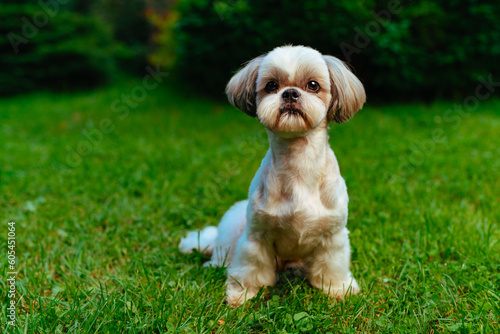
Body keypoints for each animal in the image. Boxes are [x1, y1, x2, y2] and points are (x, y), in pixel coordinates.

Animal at [181, 45, 368, 306]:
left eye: (313, 85)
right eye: (271, 86)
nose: (290, 93)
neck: (298, 165)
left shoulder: (333, 236)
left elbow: (332, 265)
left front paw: (338, 289)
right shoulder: (256, 236)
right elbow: (252, 267)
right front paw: (242, 293)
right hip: (232, 231)